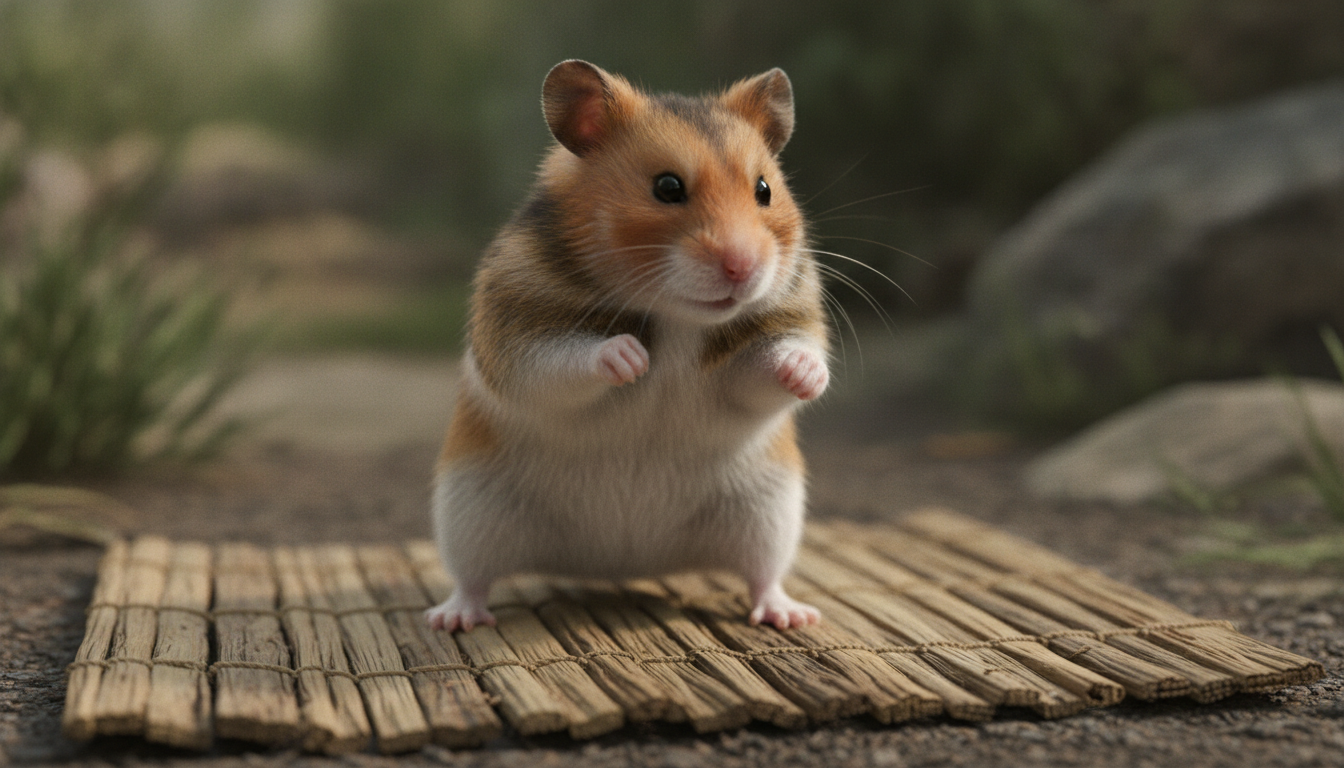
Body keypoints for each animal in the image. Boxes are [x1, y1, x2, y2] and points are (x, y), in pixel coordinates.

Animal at [425, 60, 830, 632]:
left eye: (765, 189)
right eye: (667, 187)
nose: (743, 267)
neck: (678, 317)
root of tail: (622, 561)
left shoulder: (764, 340)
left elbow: (768, 366)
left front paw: (805, 373)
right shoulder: (516, 334)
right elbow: (562, 363)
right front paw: (631, 358)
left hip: (770, 512)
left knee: (763, 576)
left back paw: (790, 615)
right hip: (470, 512)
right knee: (471, 578)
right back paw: (454, 618)